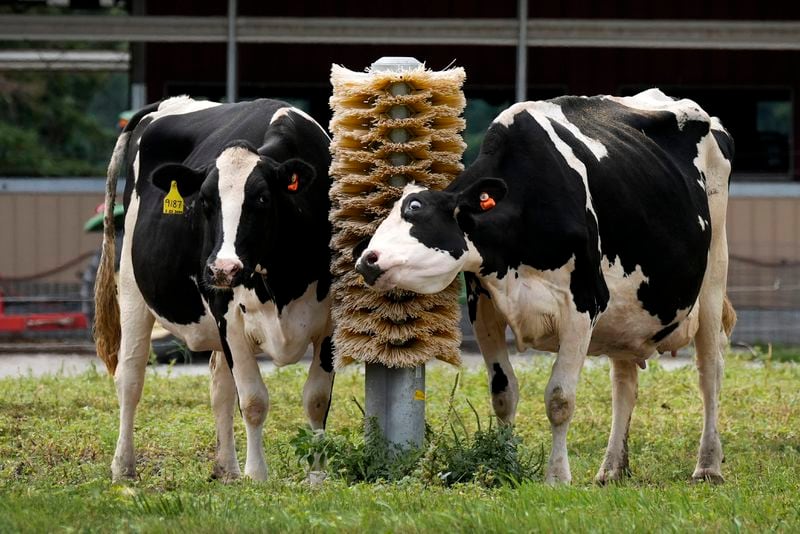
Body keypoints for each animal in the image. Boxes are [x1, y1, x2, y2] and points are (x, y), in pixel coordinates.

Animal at [96, 97, 334, 486]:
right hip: (132, 289)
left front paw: (316, 476)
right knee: (129, 378)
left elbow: (316, 398)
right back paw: (123, 468)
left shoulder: (331, 323)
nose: (223, 269)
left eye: (262, 199)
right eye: (205, 202)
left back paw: (227, 469)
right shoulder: (231, 318)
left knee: (219, 388)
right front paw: (257, 476)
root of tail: (168, 103)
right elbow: (253, 401)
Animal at [356, 89, 736, 486]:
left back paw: (708, 465)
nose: (367, 259)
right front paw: (505, 465)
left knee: (710, 372)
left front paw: (557, 477)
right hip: (627, 312)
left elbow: (560, 399)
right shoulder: (483, 308)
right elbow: (503, 393)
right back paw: (611, 469)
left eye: (416, 209)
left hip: (713, 276)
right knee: (624, 383)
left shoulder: (584, 304)